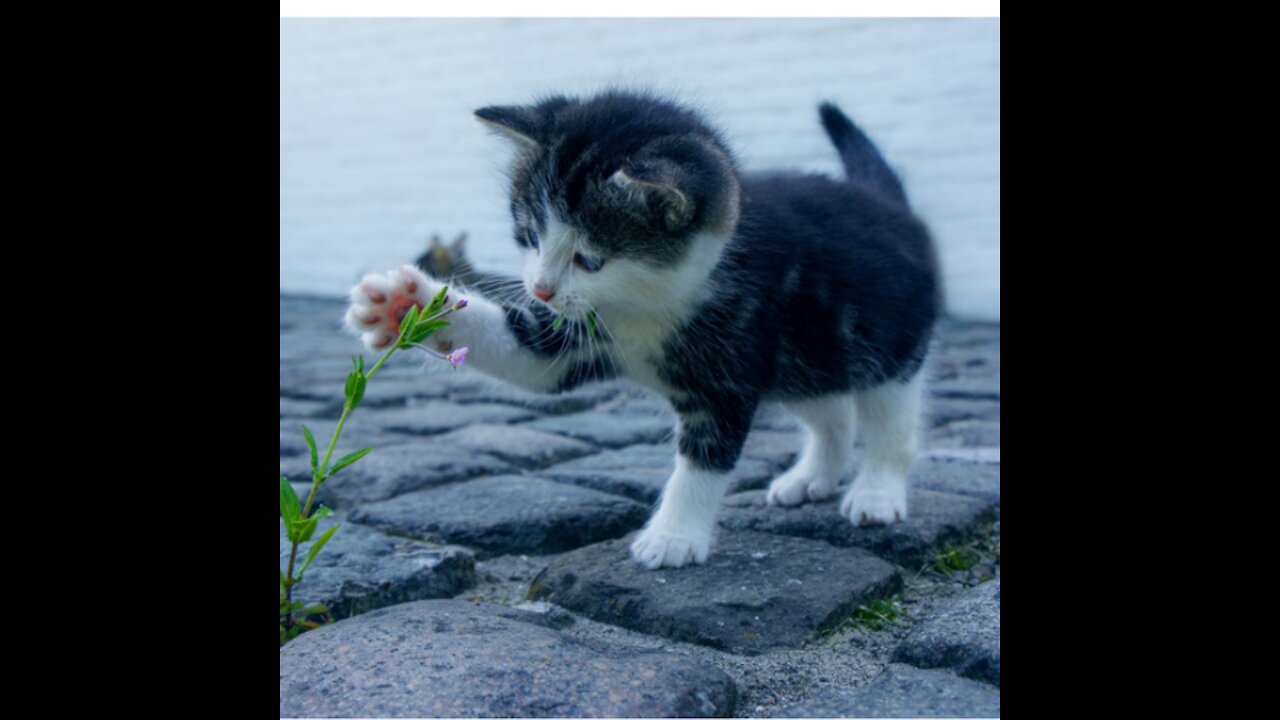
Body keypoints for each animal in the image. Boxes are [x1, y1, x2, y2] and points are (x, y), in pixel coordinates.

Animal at [345, 90, 936, 566]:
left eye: (590, 259)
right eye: (530, 235)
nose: (539, 289)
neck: (647, 304)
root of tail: (890, 205)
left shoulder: (729, 365)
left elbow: (704, 459)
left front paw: (673, 537)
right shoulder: (577, 334)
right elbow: (528, 356)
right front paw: (404, 305)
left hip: (887, 344)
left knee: (889, 422)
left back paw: (876, 493)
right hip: (804, 358)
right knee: (832, 412)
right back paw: (812, 476)